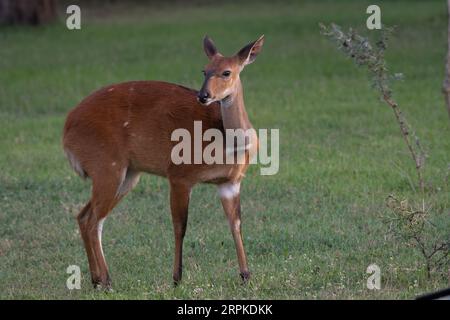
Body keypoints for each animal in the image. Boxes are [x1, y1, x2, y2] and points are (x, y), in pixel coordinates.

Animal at [62, 35, 264, 290]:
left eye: (226, 72)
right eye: (204, 70)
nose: (203, 96)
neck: (227, 143)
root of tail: (66, 129)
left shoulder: (230, 182)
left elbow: (235, 224)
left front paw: (246, 275)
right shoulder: (179, 175)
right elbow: (180, 226)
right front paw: (177, 278)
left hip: (128, 175)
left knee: (87, 217)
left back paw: (97, 279)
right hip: (107, 167)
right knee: (92, 220)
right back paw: (106, 281)